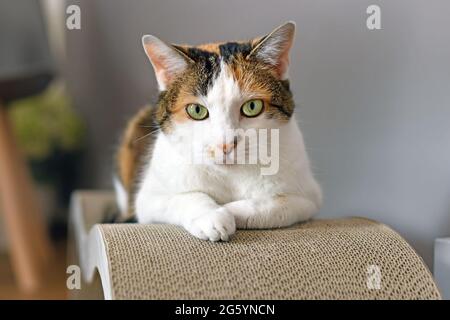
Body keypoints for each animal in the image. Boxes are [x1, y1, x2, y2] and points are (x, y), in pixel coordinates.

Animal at [114, 21, 322, 242]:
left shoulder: (309, 198)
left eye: (252, 107)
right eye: (196, 110)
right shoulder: (148, 200)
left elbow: (273, 203)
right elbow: (186, 197)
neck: (229, 177)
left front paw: (230, 211)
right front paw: (212, 215)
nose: (225, 144)